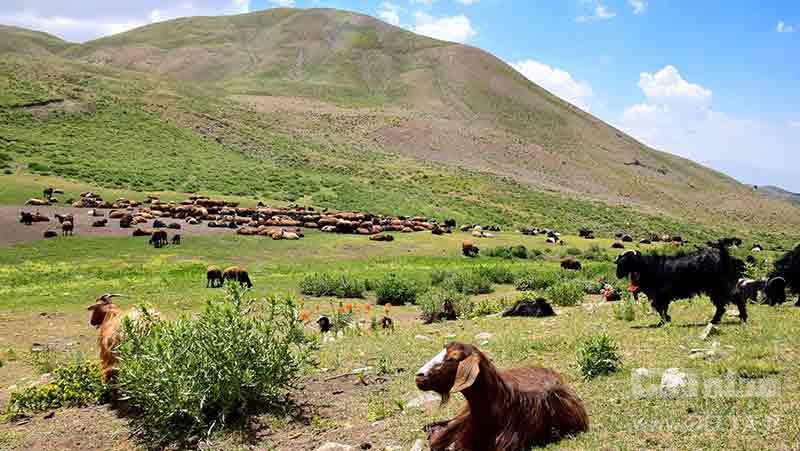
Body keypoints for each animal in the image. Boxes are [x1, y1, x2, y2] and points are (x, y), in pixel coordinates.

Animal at [616, 245, 748, 326]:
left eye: (623, 262)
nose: (617, 275)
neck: (647, 267)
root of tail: (724, 256)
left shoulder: (661, 295)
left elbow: (660, 309)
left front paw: (665, 321)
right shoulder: (660, 296)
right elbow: (661, 309)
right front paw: (665, 321)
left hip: (719, 286)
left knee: (735, 298)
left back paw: (742, 317)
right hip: (716, 289)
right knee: (722, 306)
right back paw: (716, 321)